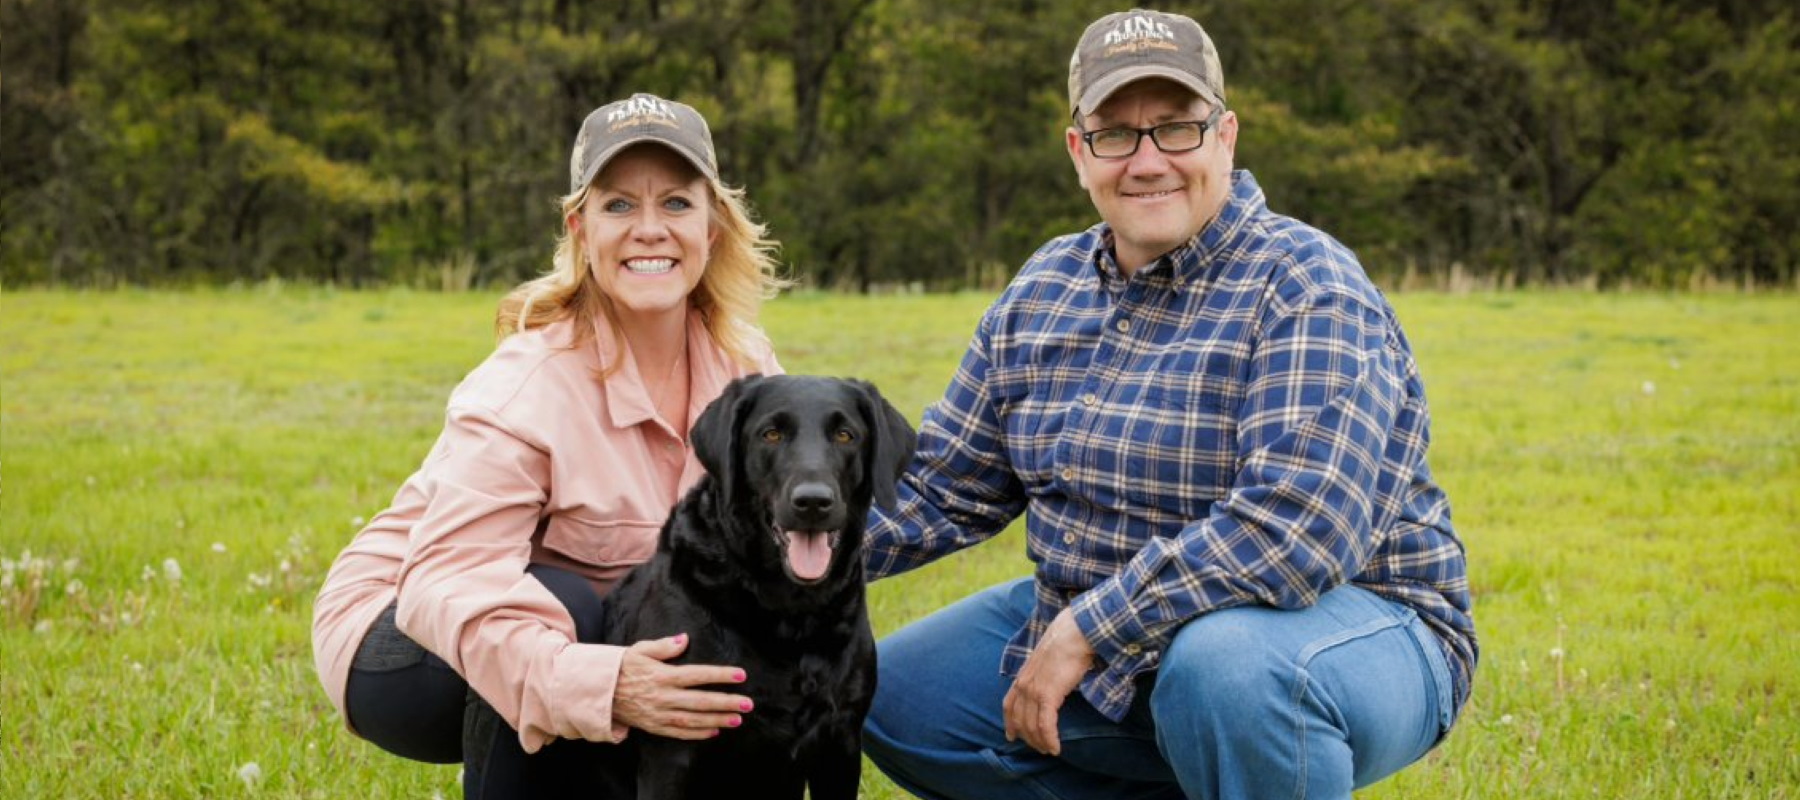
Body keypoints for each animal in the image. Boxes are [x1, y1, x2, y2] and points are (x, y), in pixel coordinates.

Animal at [601, 374, 914, 800]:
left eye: (846, 435)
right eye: (771, 434)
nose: (812, 501)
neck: (792, 615)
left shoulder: (841, 745)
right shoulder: (672, 750)